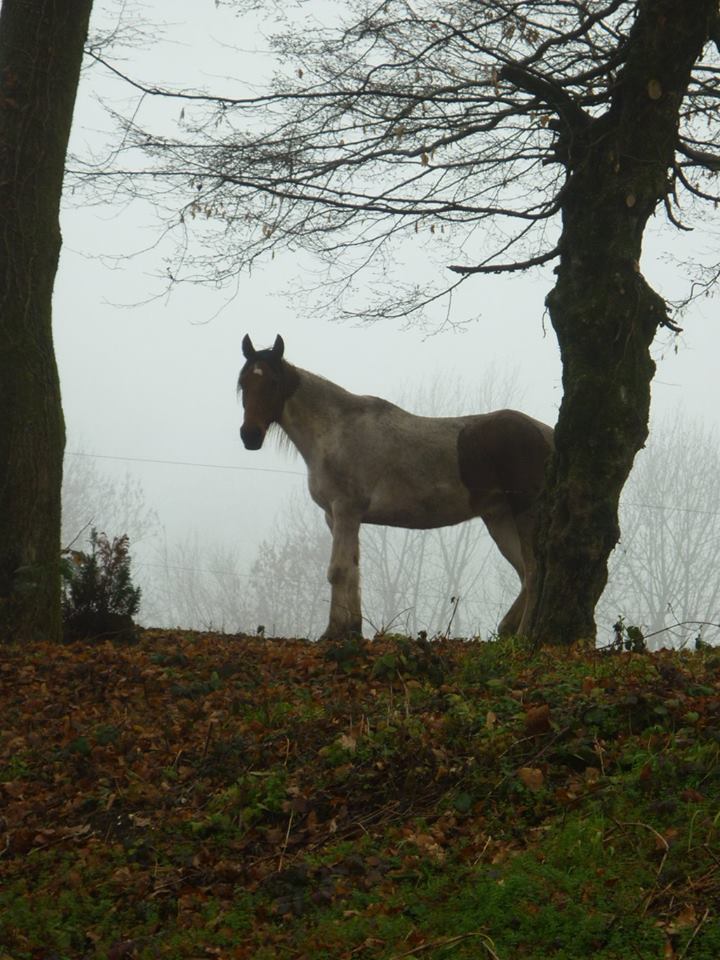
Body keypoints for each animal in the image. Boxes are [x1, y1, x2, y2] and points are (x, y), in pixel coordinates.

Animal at [239, 334, 556, 640]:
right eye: (243, 383)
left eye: (273, 382)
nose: (249, 436)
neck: (335, 430)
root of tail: (547, 434)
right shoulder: (336, 516)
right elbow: (353, 569)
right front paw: (351, 629)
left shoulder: (345, 510)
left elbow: (338, 570)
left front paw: (332, 633)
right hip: (499, 518)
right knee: (522, 573)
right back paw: (507, 629)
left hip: (525, 515)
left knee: (534, 572)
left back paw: (523, 636)